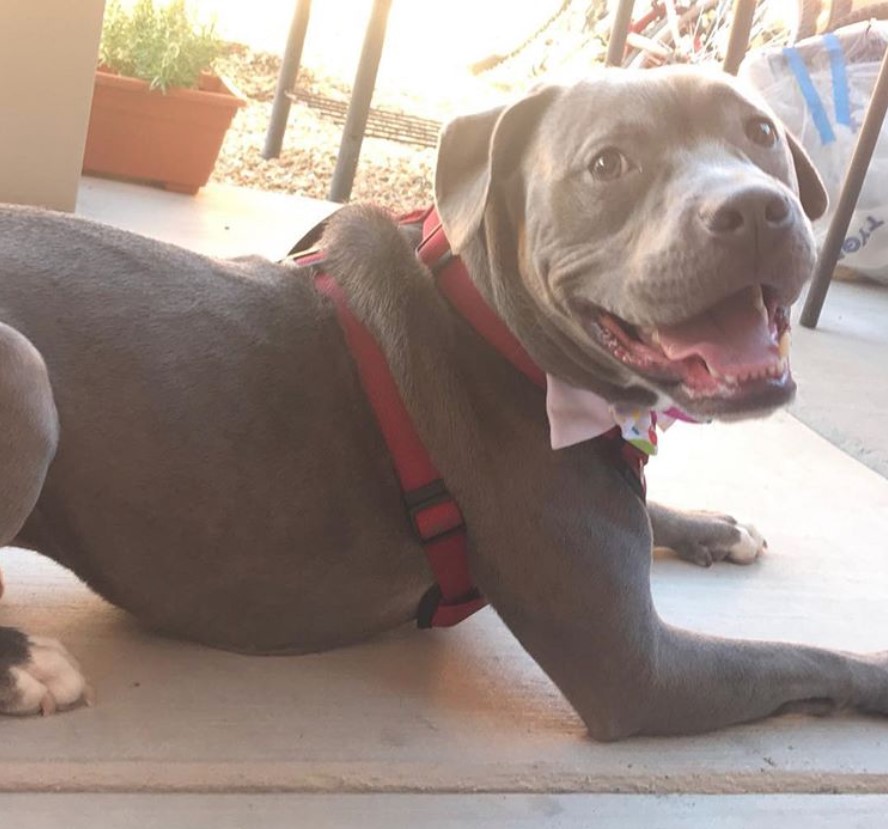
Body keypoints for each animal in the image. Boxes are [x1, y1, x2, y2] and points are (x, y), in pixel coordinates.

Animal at [0, 66, 884, 736]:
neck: (500, 330)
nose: (755, 207)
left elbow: (657, 510)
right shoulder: (642, 671)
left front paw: (714, 525)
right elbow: (804, 654)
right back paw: (27, 665)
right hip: (24, 372)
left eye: (760, 133)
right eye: (608, 164)